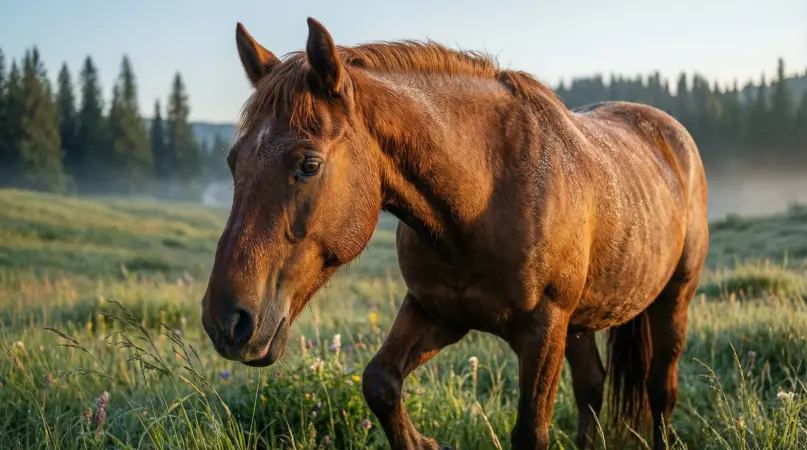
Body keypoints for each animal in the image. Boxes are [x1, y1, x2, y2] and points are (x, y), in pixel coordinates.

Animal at [200, 17, 709, 450]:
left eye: (309, 164)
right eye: (233, 161)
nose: (226, 321)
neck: (481, 200)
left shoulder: (543, 329)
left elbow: (531, 432)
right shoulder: (436, 311)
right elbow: (379, 383)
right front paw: (423, 442)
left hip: (672, 301)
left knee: (661, 390)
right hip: (581, 322)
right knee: (592, 390)